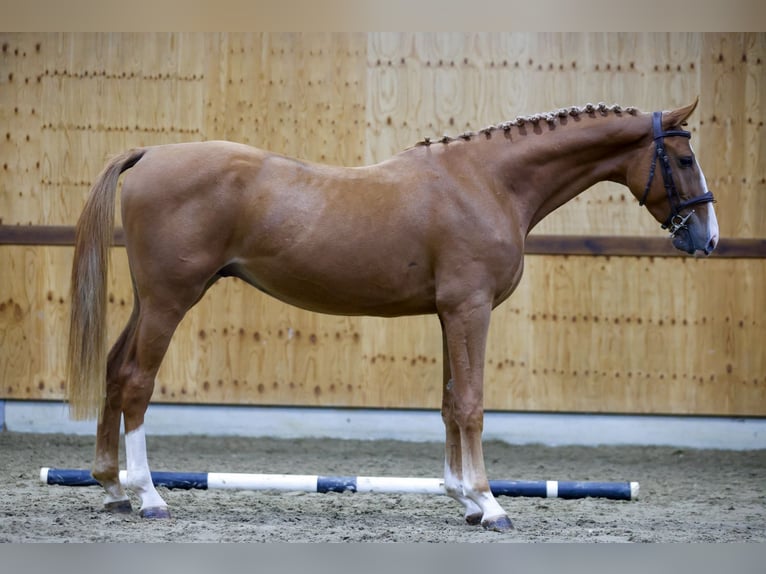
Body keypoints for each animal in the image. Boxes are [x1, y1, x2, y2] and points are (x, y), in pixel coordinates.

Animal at [67, 98, 720, 532]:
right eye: (684, 157)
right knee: (136, 382)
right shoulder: (470, 309)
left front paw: (462, 498)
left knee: (113, 370)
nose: (708, 239)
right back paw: (149, 496)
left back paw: (112, 488)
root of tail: (150, 153)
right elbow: (472, 404)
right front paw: (490, 504)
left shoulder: (448, 313)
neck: (488, 182)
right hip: (171, 300)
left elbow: (451, 403)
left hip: (153, 300)